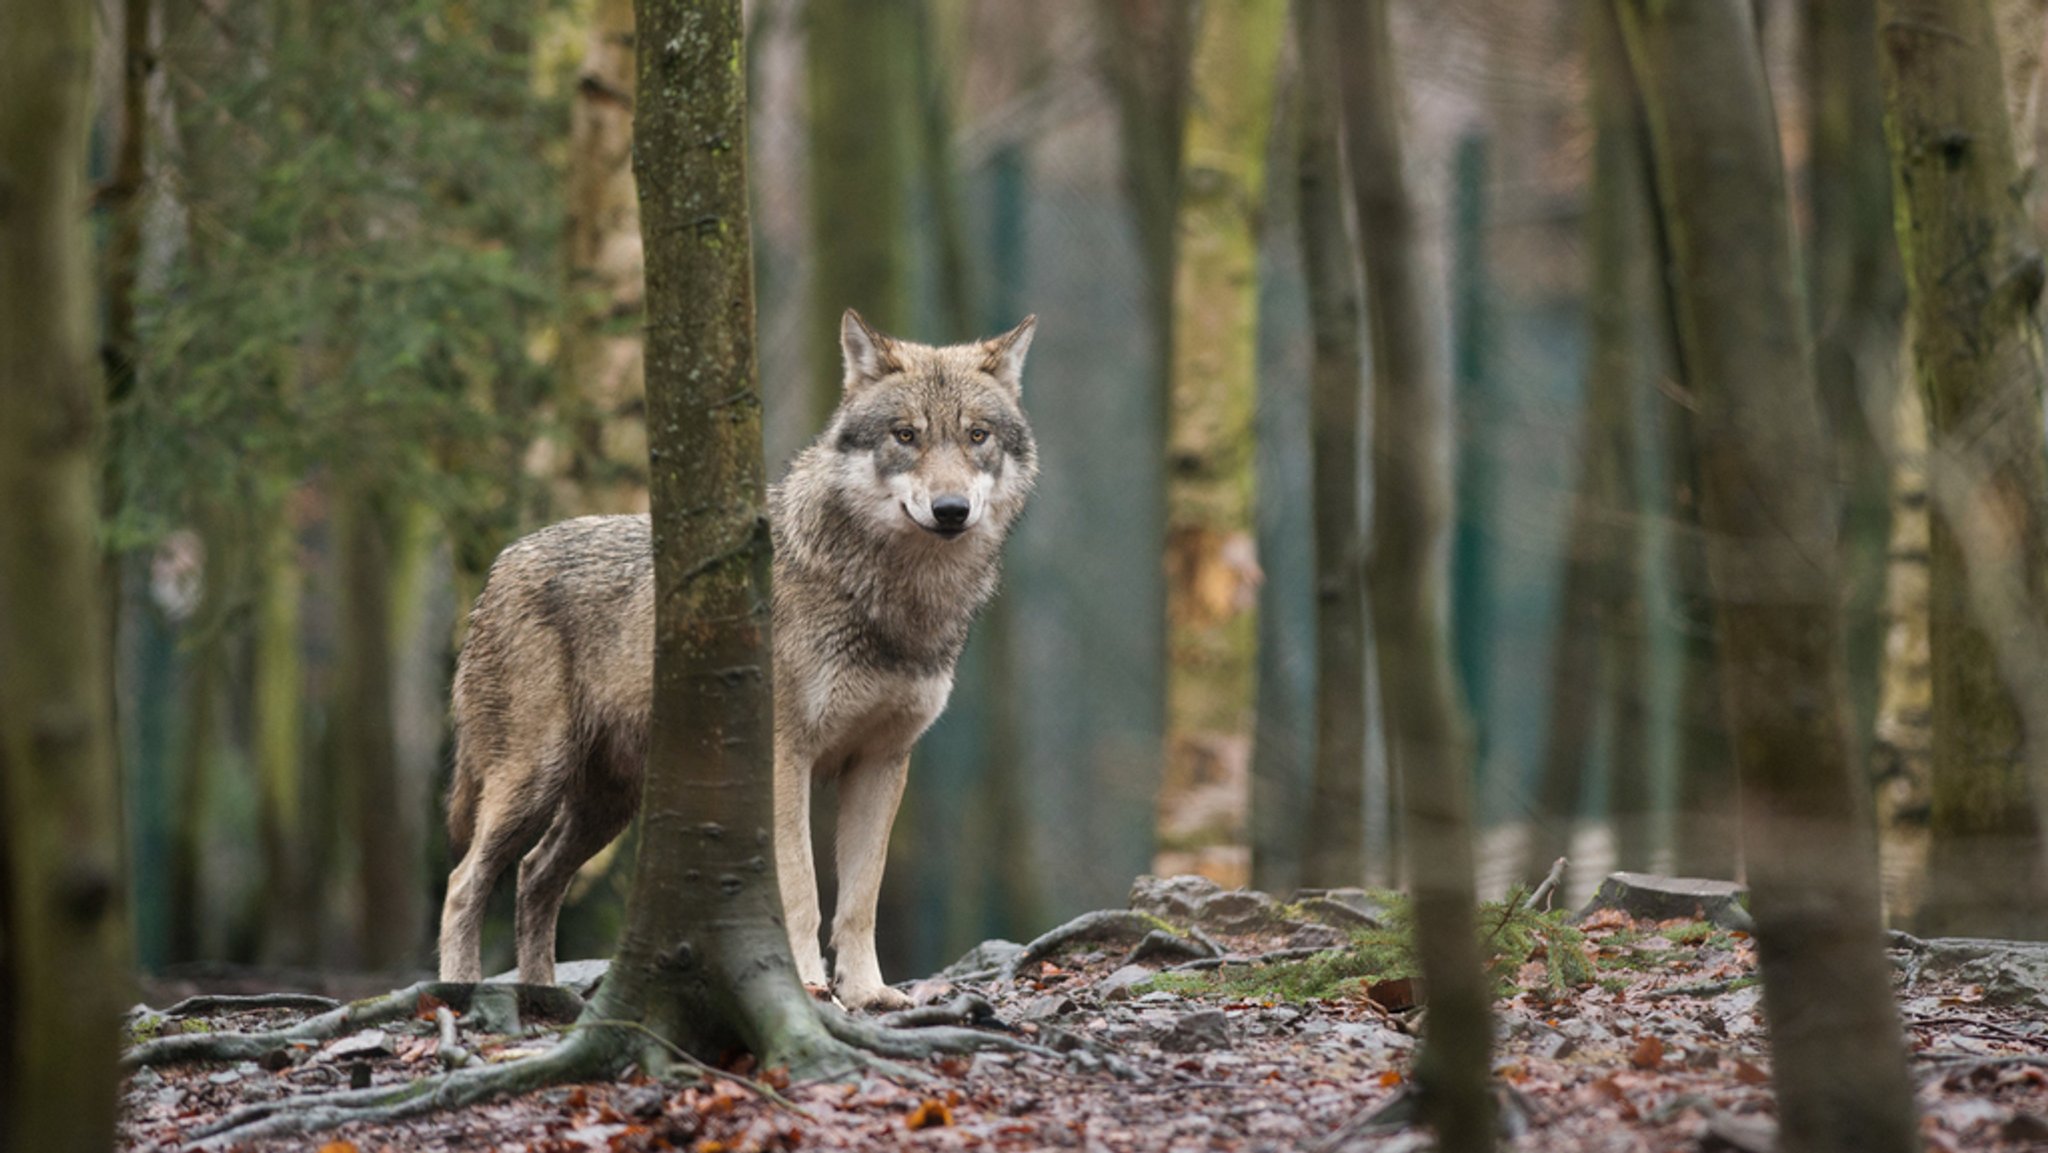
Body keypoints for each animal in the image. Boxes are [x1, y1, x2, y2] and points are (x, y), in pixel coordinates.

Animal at [434, 309, 1040, 1011]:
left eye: (977, 436)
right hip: (533, 781)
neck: (893, 600)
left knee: (534, 876)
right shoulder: (785, 758)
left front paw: (868, 993)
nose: (950, 510)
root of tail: (501, 563)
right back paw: (460, 992)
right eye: (905, 435)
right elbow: (802, 890)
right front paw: (807, 986)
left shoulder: (882, 762)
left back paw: (543, 998)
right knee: (464, 881)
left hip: (606, 805)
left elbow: (861, 898)